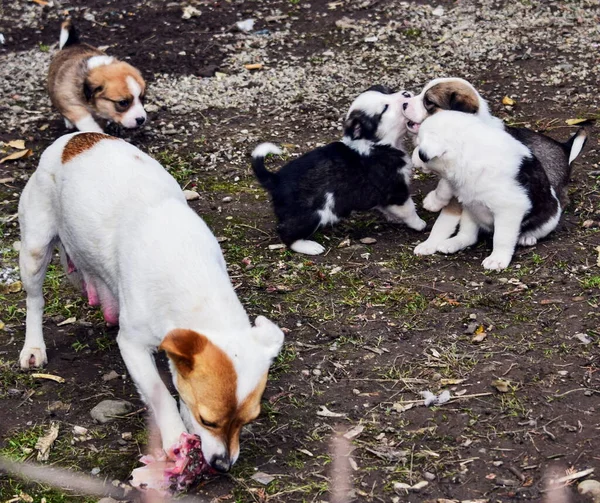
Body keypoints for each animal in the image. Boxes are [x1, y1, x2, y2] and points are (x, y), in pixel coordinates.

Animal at [16, 131, 284, 472]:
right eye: (208, 421)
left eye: (248, 421)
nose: (223, 465)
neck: (192, 273)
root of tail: (74, 138)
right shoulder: (132, 346)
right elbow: (160, 394)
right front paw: (174, 435)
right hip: (35, 251)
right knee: (35, 301)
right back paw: (33, 347)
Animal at [251, 85, 424, 256]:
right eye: (385, 108)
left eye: (388, 91)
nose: (406, 94)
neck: (379, 144)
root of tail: (275, 179)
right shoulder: (396, 190)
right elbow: (409, 209)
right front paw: (419, 224)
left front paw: (393, 218)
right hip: (310, 214)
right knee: (287, 233)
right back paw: (309, 246)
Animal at [412, 111, 572, 272]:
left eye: (419, 147)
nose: (413, 160)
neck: (468, 154)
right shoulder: (462, 199)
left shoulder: (510, 209)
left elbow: (501, 238)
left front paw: (497, 259)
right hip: (471, 209)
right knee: (469, 236)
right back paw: (454, 242)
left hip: (548, 219)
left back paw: (527, 237)